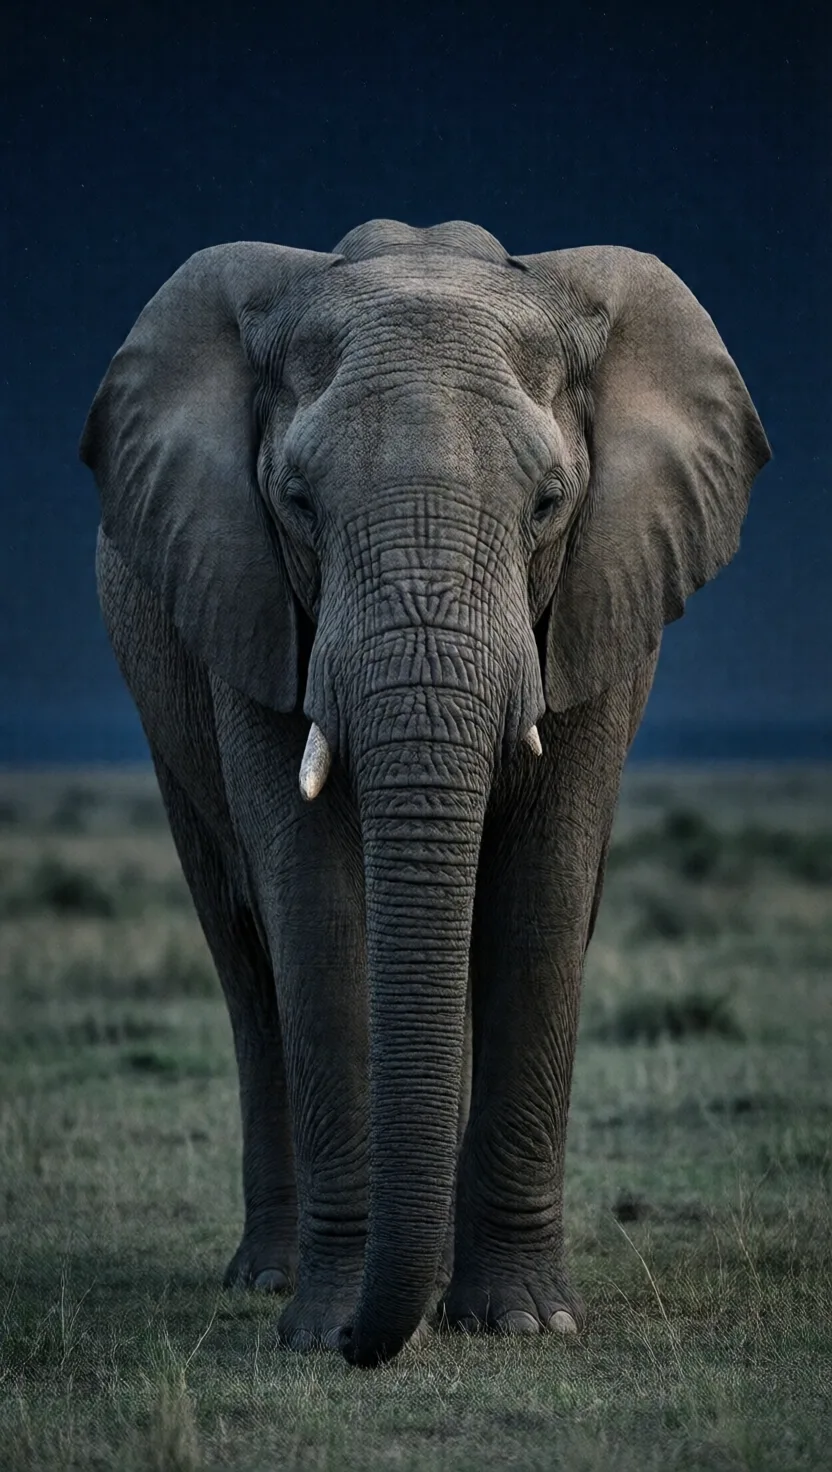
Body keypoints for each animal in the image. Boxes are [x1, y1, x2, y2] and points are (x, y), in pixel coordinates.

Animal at [80, 218, 769, 1367]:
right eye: (297, 503)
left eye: (548, 505)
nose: (367, 1342)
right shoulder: (249, 598)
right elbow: (314, 910)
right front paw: (321, 1325)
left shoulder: (603, 596)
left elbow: (542, 897)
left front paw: (525, 1320)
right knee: (245, 953)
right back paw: (273, 1274)